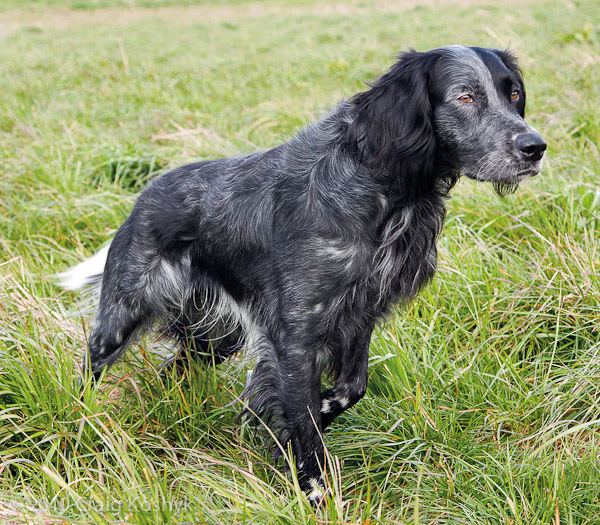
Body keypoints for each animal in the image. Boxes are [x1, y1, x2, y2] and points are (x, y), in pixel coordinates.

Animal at [61, 47, 544, 502]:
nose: (535, 147)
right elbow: (305, 424)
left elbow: (349, 389)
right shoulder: (295, 336)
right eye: (465, 96)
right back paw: (81, 420)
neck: (383, 190)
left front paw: (287, 417)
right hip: (124, 312)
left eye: (513, 93)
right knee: (91, 367)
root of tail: (144, 197)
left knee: (173, 370)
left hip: (216, 337)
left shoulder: (358, 318)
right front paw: (314, 491)